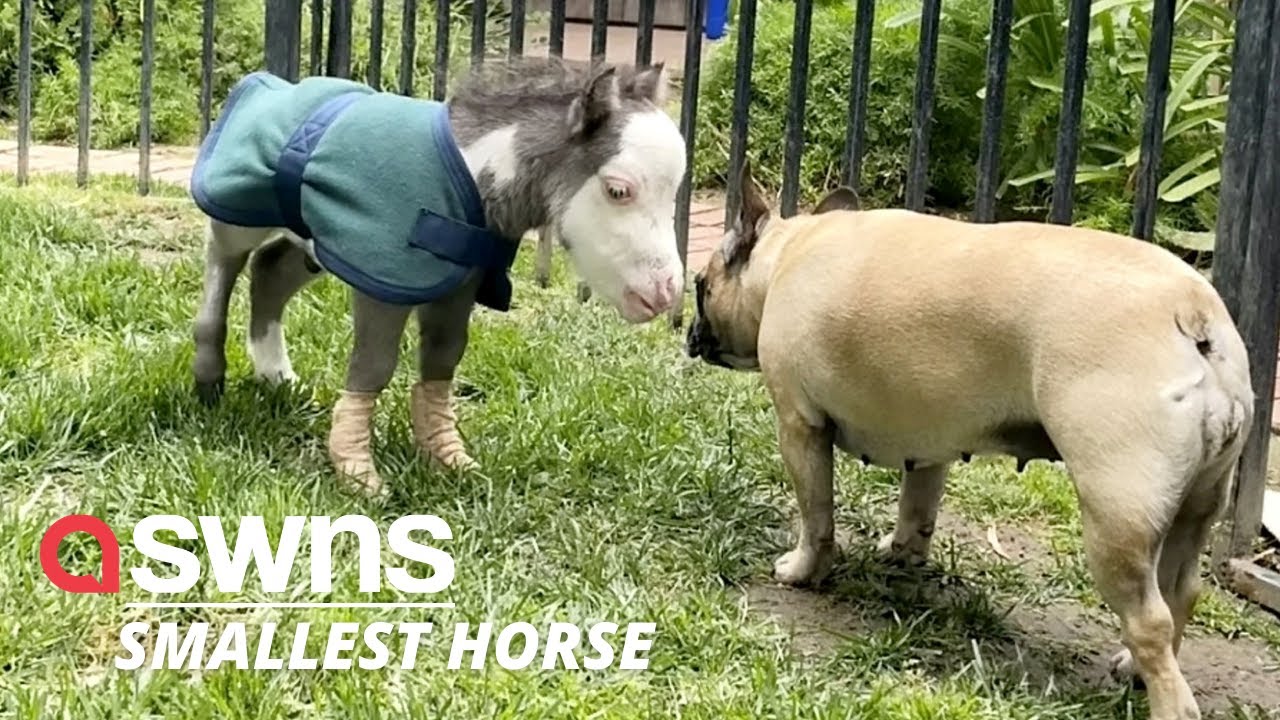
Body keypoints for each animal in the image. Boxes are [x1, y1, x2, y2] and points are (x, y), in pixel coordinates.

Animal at [686, 163, 1254, 717]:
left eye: (700, 285)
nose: (691, 333)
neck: (787, 253)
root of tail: (1193, 315)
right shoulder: (927, 441)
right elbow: (918, 505)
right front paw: (902, 554)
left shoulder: (799, 426)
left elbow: (817, 514)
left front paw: (804, 571)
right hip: (1195, 504)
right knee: (1181, 591)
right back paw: (1133, 668)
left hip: (1116, 513)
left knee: (1149, 621)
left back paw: (1165, 698)